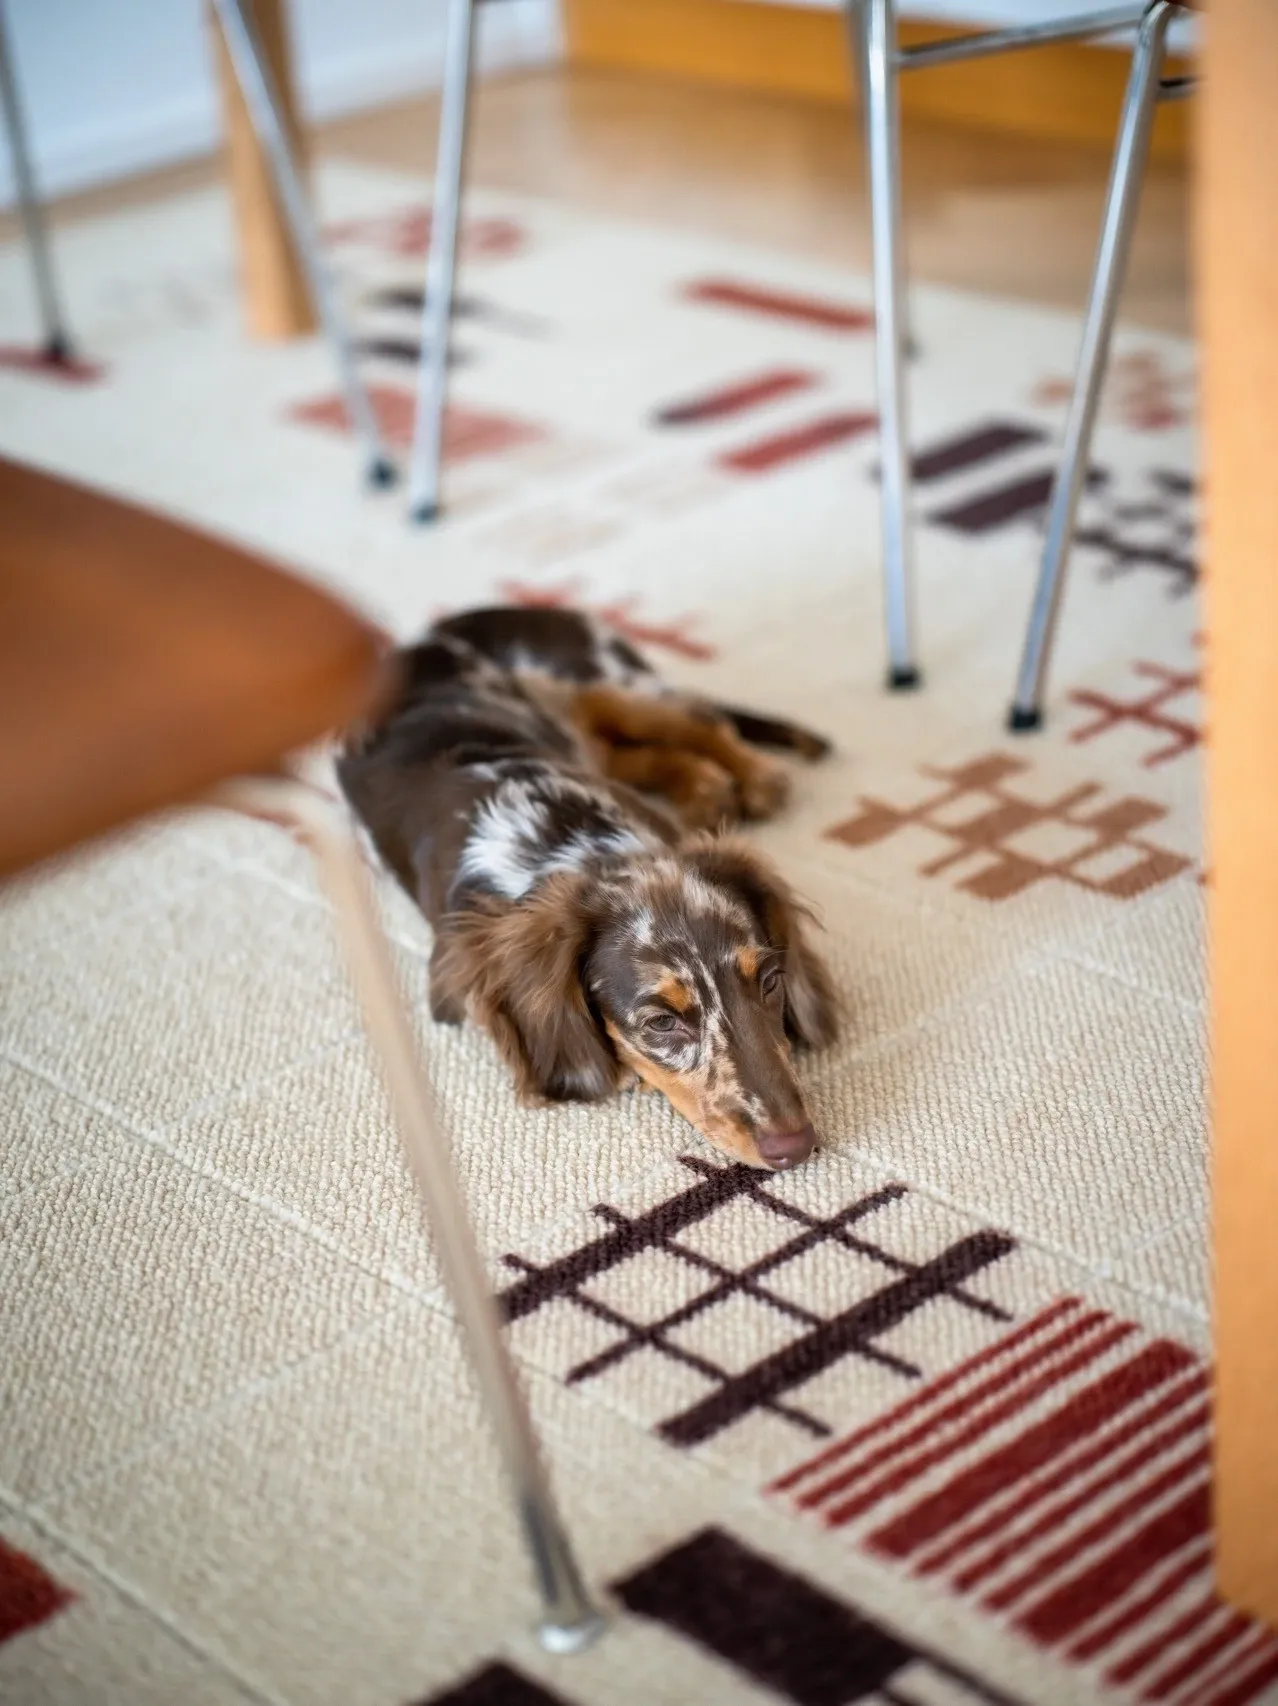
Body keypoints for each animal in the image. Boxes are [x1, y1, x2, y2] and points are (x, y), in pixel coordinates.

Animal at [337, 606, 839, 1171]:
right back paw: (708, 787)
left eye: (771, 980)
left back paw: (754, 777)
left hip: (610, 687)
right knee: (643, 750)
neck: (571, 840)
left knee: (701, 723)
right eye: (661, 1023)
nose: (795, 1147)